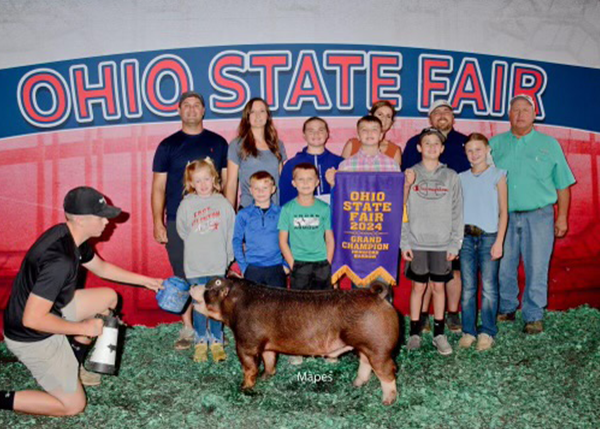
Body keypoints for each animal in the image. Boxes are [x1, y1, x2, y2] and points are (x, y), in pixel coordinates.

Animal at [190, 276, 400, 402]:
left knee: (388, 371)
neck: (236, 305)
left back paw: (387, 401)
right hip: (365, 347)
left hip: (378, 347)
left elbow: (249, 367)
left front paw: (244, 388)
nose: (192, 285)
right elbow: (269, 360)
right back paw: (356, 384)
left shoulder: (246, 343)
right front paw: (266, 377)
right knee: (366, 363)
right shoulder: (267, 345)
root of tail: (378, 296)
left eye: (210, 286)